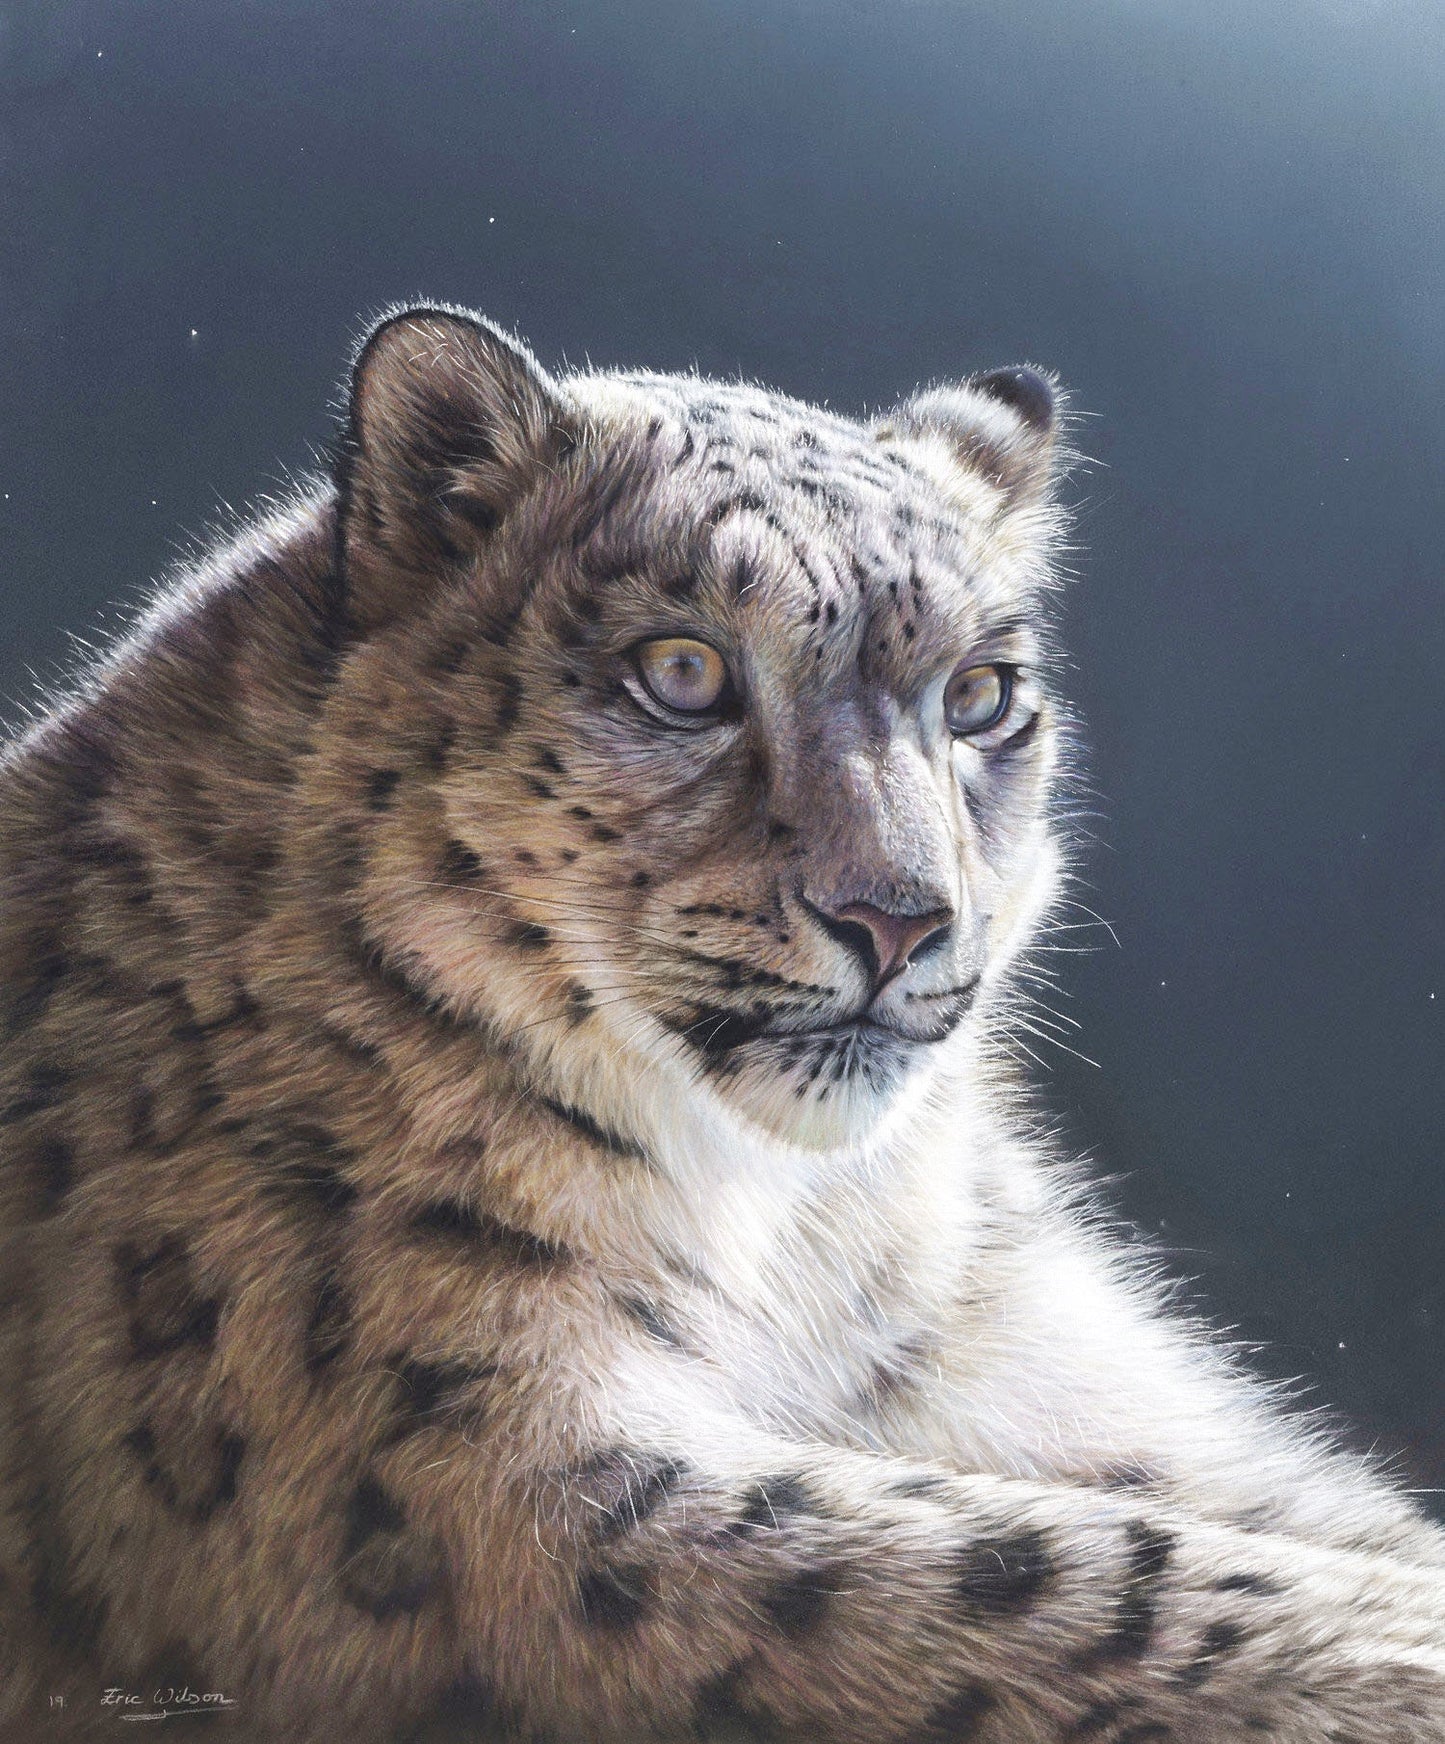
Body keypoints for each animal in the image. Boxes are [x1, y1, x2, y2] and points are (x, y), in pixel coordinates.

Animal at [1, 303, 1443, 1744]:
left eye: (980, 696)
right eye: (682, 671)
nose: (899, 918)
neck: (793, 1239)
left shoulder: (1036, 1375)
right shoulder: (464, 1464)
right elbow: (1028, 1566)